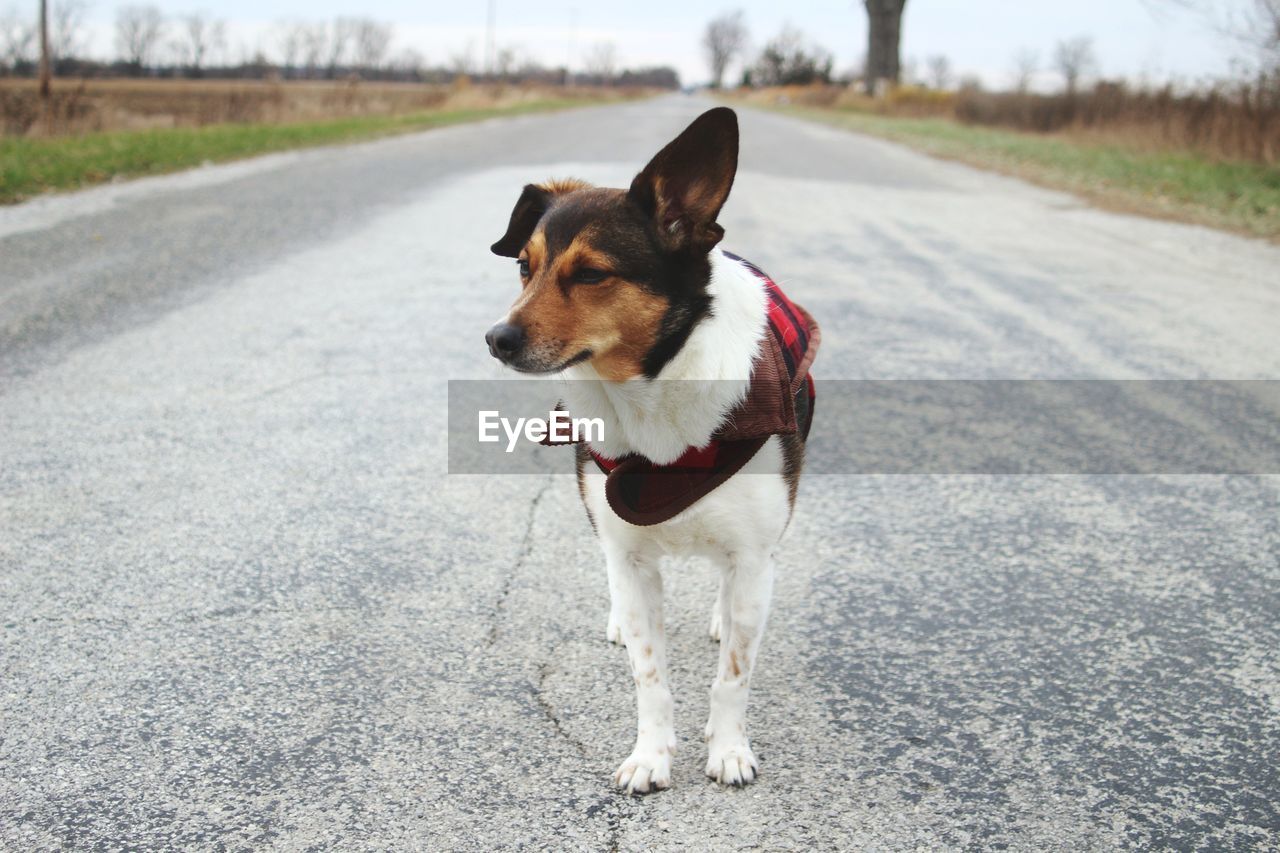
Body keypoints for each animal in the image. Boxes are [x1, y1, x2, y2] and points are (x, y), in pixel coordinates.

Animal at [483, 106, 814, 788]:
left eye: (591, 273)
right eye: (525, 266)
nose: (496, 338)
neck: (651, 392)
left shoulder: (752, 550)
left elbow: (734, 675)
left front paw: (729, 747)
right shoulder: (628, 551)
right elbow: (649, 673)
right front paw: (652, 754)